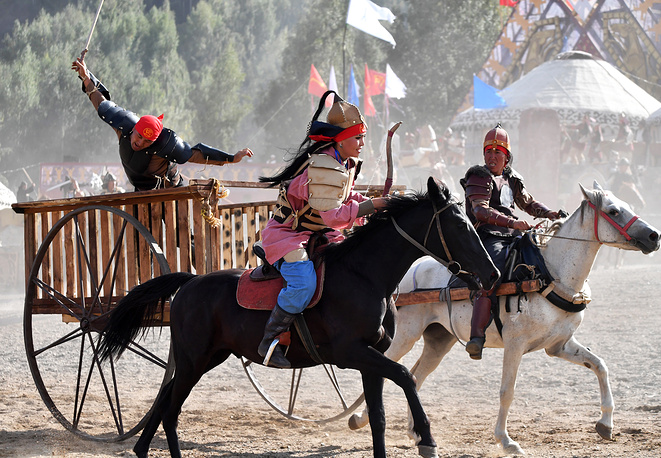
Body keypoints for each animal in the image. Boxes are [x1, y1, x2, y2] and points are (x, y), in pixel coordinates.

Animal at [98, 177, 498, 456]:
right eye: (460, 225)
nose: (491, 273)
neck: (365, 277)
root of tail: (191, 281)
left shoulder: (372, 357)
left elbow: (379, 418)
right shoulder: (352, 354)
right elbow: (406, 376)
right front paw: (426, 437)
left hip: (205, 358)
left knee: (165, 400)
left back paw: (140, 448)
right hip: (194, 360)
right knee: (170, 411)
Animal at [348, 182, 656, 454]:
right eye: (614, 211)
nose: (654, 236)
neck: (552, 273)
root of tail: (406, 276)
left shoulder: (559, 345)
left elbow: (600, 365)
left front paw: (606, 423)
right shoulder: (515, 345)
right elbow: (507, 391)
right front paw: (506, 441)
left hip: (439, 341)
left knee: (416, 374)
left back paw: (415, 432)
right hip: (403, 337)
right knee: (391, 369)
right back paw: (360, 418)